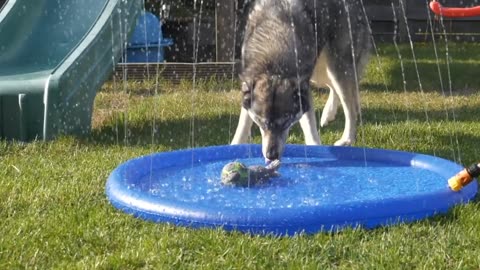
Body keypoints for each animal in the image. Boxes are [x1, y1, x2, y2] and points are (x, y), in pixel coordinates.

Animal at [231, 0, 370, 160]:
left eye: (286, 121)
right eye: (261, 122)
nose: (271, 156)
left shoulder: (303, 91)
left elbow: (309, 127)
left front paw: (315, 147)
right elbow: (242, 124)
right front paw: (234, 145)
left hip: (337, 67)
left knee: (350, 106)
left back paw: (347, 139)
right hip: (320, 71)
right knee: (334, 88)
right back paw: (329, 114)